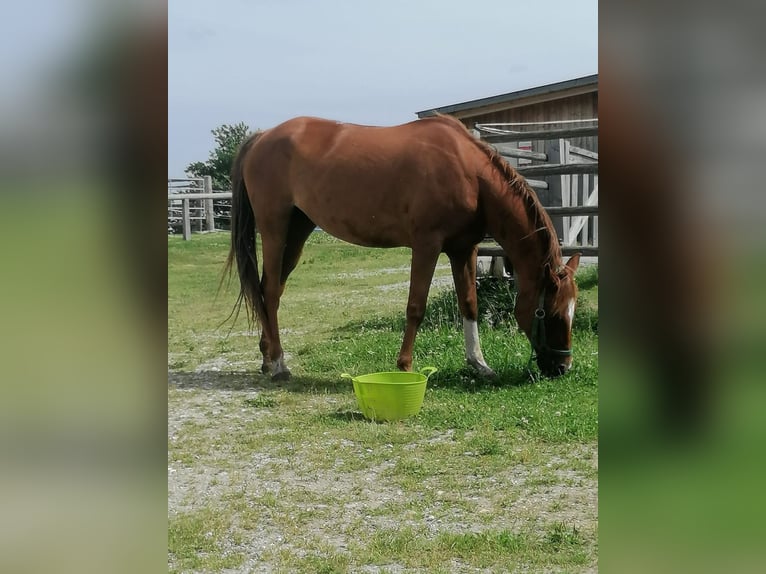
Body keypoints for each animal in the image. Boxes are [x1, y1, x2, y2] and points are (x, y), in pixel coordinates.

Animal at [225, 114, 580, 380]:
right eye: (550, 312)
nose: (562, 367)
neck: (469, 174)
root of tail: (262, 136)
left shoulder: (463, 250)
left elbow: (469, 304)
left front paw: (479, 363)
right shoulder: (426, 245)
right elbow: (415, 307)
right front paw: (405, 366)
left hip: (297, 231)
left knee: (269, 290)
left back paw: (267, 357)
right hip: (274, 229)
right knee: (270, 292)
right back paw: (278, 365)